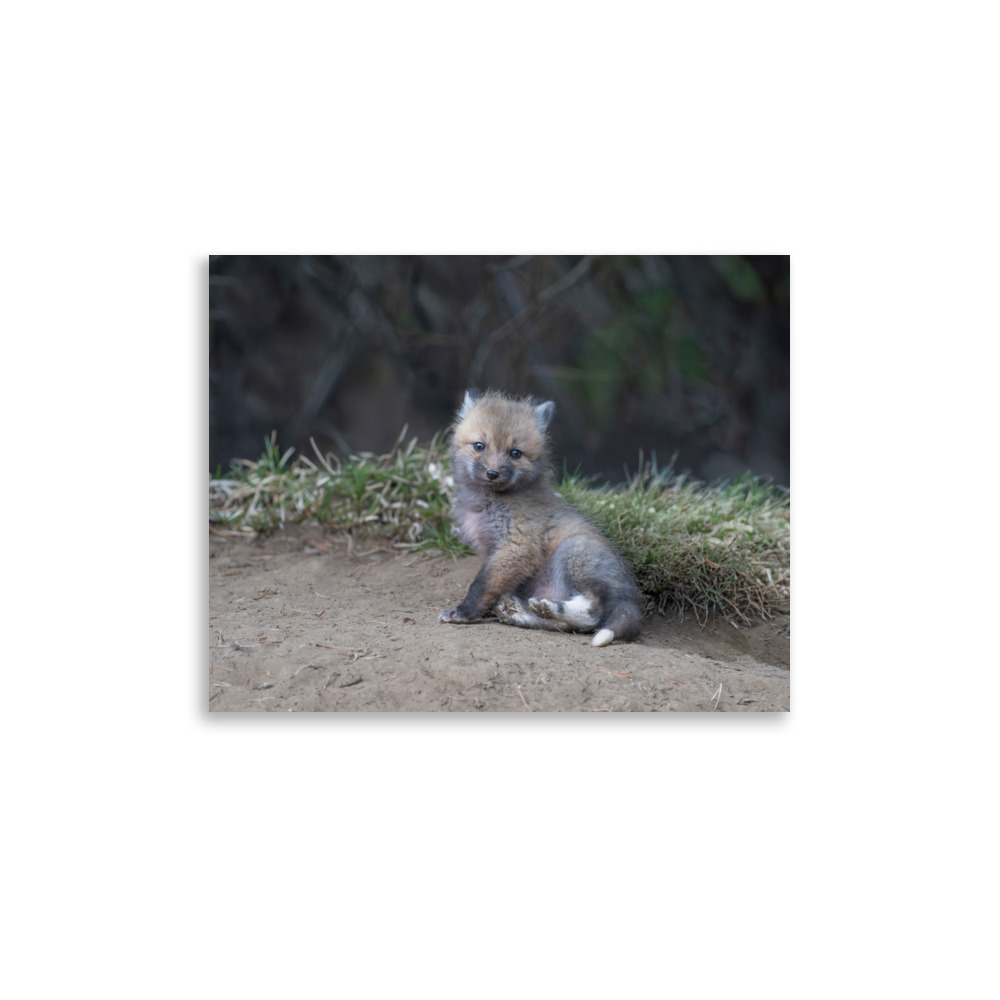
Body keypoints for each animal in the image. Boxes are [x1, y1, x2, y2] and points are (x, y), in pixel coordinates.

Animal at [438, 389, 643, 646]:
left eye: (515, 453)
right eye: (479, 446)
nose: (492, 473)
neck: (489, 503)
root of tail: (632, 598)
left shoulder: (518, 546)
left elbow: (482, 585)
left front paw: (463, 612)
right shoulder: (494, 551)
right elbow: (490, 584)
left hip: (573, 552)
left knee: (592, 613)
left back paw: (548, 607)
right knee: (567, 626)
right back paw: (522, 613)